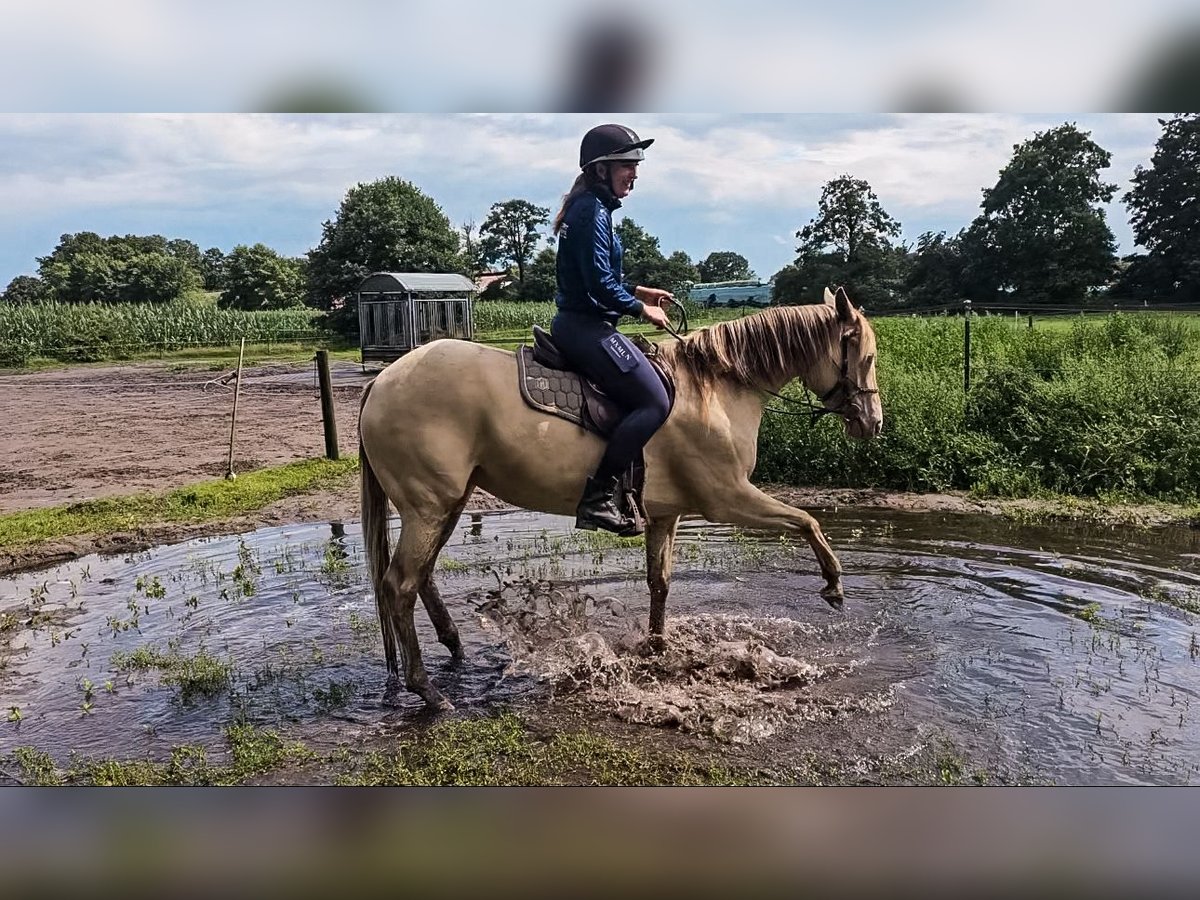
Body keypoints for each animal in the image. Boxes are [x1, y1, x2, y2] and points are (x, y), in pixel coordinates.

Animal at [355, 285, 883, 710]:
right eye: (868, 357)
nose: (873, 423)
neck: (713, 391)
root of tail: (383, 380)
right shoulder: (730, 499)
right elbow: (807, 521)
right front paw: (834, 583)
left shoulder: (667, 515)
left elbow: (659, 582)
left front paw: (658, 649)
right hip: (429, 508)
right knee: (399, 586)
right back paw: (428, 691)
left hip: (448, 503)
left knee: (421, 578)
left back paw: (454, 648)